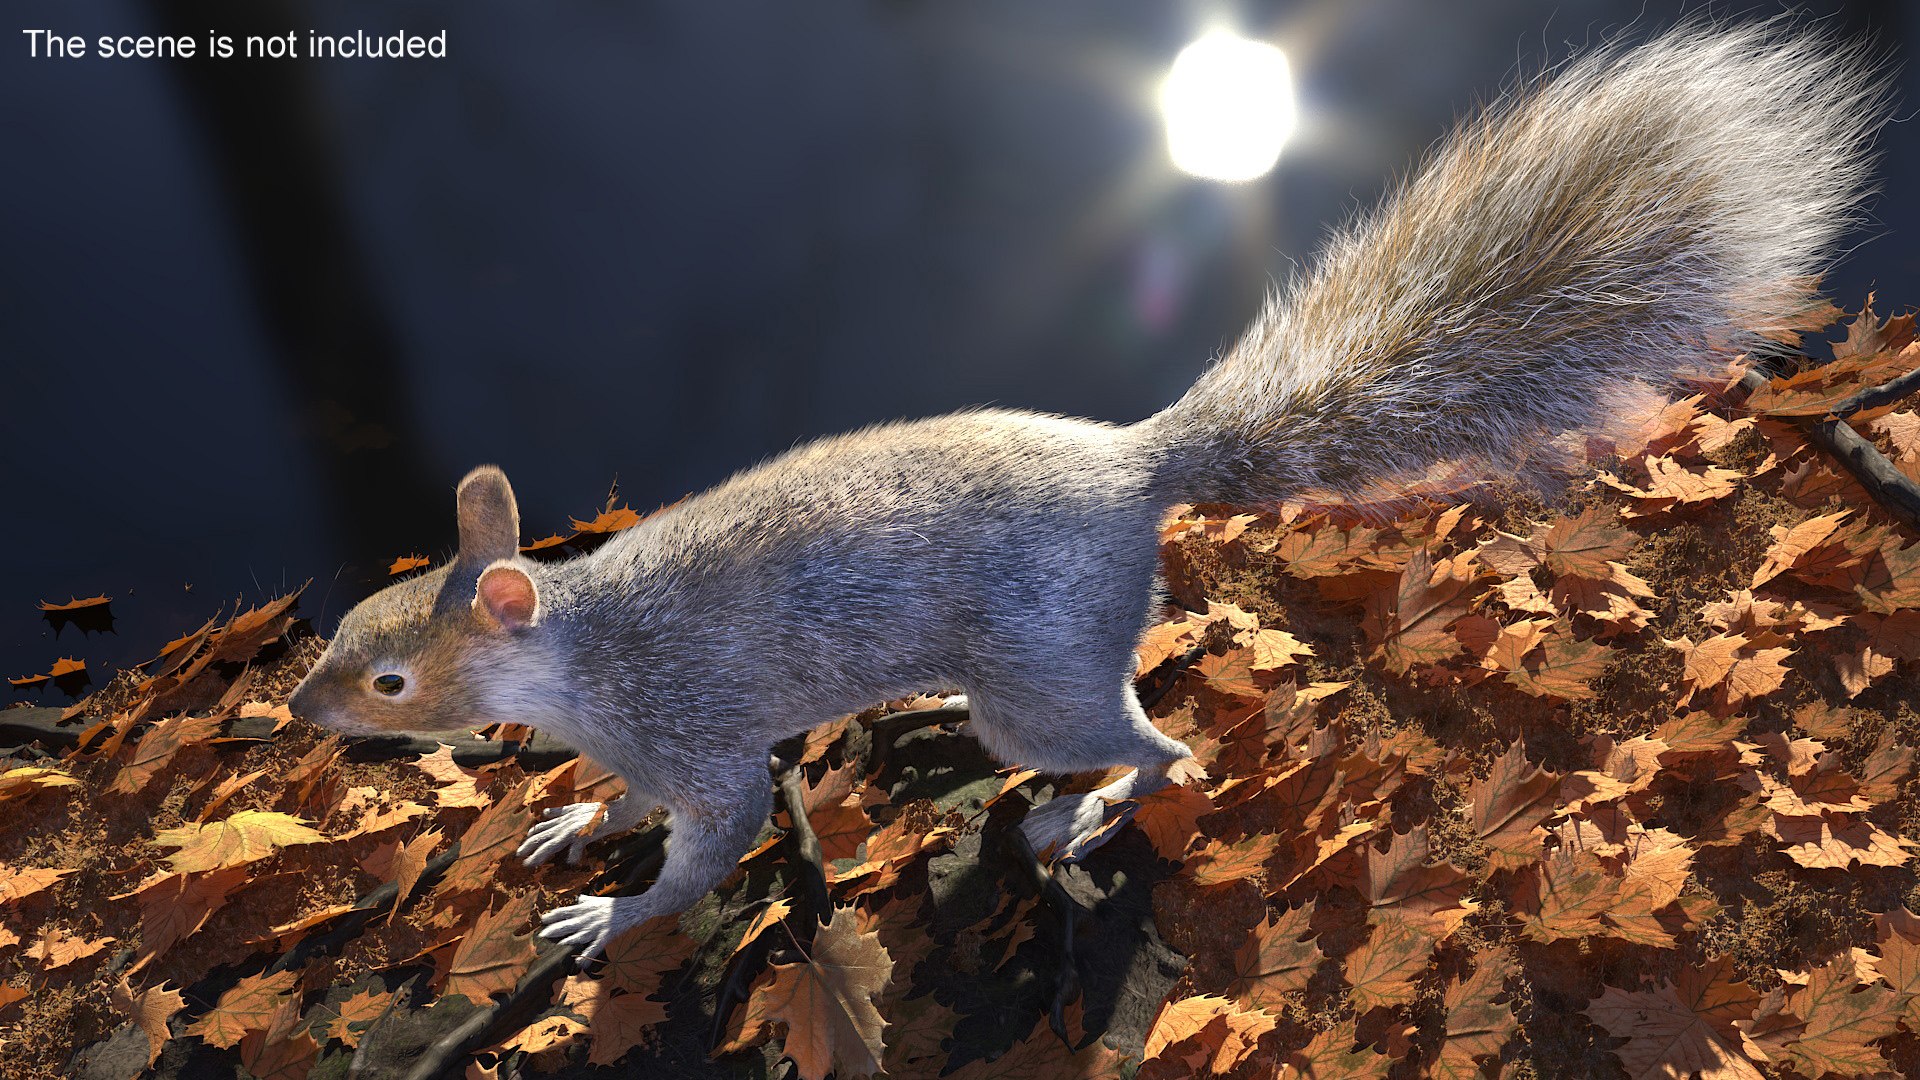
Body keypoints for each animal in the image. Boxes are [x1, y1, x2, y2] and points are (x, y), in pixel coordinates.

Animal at [288, 21, 1887, 960]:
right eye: (356, 622)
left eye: (384, 678)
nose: (296, 709)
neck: (576, 649)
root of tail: (1135, 468)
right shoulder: (630, 735)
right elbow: (613, 792)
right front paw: (569, 823)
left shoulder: (694, 732)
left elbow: (709, 843)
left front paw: (612, 910)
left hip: (1045, 681)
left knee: (1160, 748)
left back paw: (1086, 816)